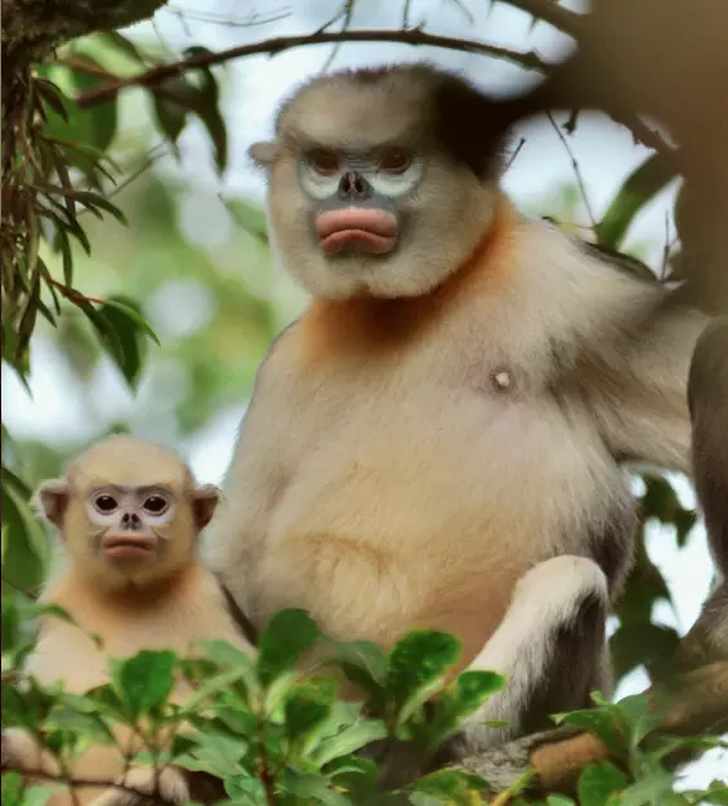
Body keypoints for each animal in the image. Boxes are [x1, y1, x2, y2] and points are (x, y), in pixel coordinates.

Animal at [1, 435, 255, 806]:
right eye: (106, 503)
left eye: (154, 504)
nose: (131, 518)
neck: (130, 595)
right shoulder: (57, 602)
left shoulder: (210, 596)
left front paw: (154, 785)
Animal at [204, 63, 715, 759]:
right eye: (325, 163)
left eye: (395, 161)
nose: (352, 185)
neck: (403, 306)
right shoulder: (282, 368)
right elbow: (229, 559)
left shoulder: (564, 280)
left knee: (569, 580)